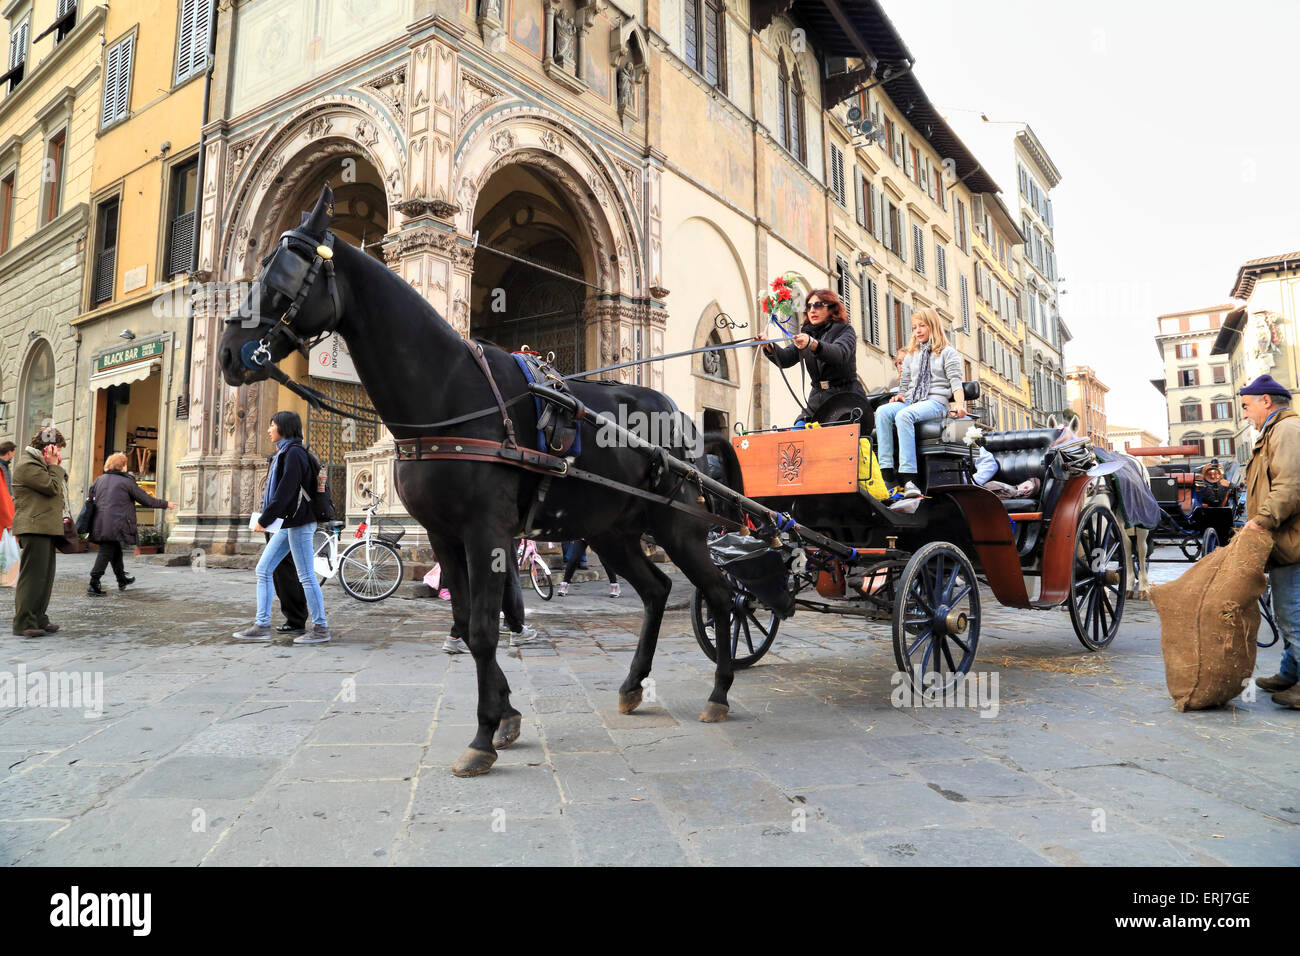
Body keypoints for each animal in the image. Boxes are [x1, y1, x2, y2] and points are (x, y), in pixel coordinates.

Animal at [218, 188, 738, 780]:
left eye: (283, 272)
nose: (228, 351)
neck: (449, 391)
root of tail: (683, 417)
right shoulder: (442, 535)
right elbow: (467, 625)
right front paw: (506, 715)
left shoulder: (486, 533)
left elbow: (488, 628)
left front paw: (484, 735)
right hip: (614, 530)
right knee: (656, 591)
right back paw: (633, 685)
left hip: (678, 524)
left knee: (720, 593)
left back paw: (720, 692)